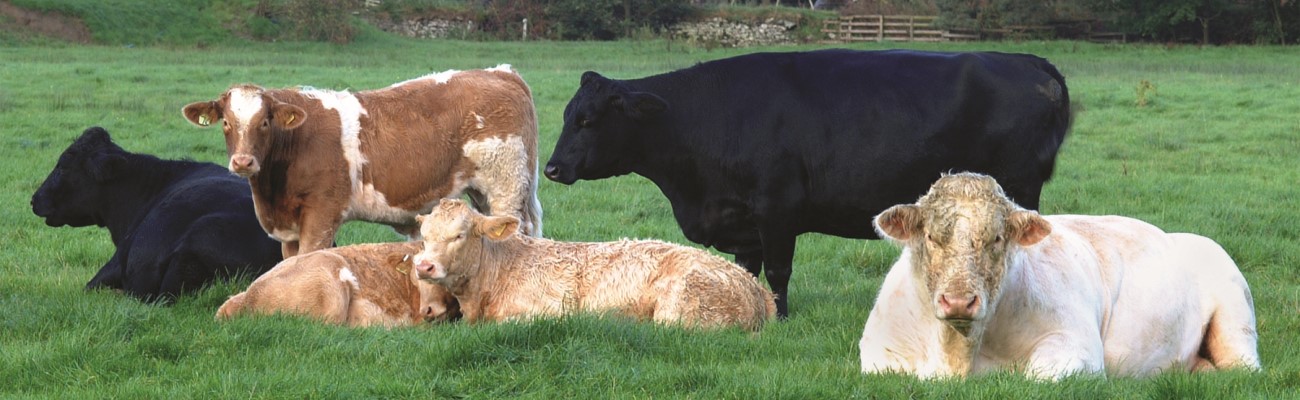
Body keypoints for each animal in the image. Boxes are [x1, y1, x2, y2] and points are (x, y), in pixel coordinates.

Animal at [408, 198, 769, 329]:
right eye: (424, 237)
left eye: (459, 234)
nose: (424, 266)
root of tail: (754, 285)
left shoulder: (547, 312)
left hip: (677, 311)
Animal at [543, 50, 1071, 318]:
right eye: (568, 115)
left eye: (587, 120)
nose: (551, 168)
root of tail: (1030, 61)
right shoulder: (743, 222)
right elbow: (746, 270)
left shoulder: (777, 209)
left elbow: (778, 270)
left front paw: (780, 317)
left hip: (1018, 189)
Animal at [857, 171, 1253, 379]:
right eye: (929, 237)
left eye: (997, 238)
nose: (958, 301)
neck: (958, 354)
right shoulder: (878, 356)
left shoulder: (1076, 343)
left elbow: (1038, 376)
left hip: (1237, 318)